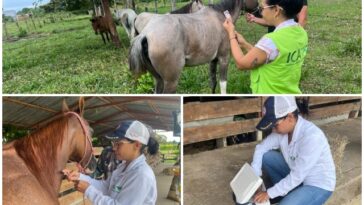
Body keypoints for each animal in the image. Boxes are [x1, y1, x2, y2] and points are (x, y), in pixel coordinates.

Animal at [129, 0, 258, 93]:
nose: (259, 9)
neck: (220, 16)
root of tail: (146, 34)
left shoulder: (213, 60)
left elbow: (213, 82)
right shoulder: (224, 58)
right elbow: (223, 84)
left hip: (159, 79)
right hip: (171, 82)